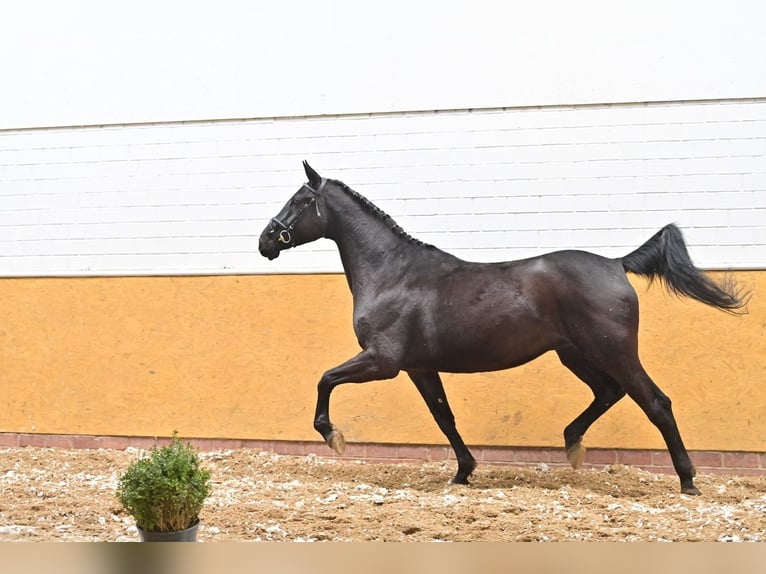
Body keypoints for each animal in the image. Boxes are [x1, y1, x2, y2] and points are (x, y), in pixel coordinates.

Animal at [260, 162, 752, 496]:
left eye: (299, 200)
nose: (266, 241)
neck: (393, 274)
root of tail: (616, 264)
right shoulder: (420, 368)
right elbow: (443, 417)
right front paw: (463, 471)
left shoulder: (383, 362)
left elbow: (325, 379)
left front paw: (334, 436)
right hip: (575, 353)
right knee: (608, 393)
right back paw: (573, 445)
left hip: (613, 351)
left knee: (655, 402)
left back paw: (688, 480)